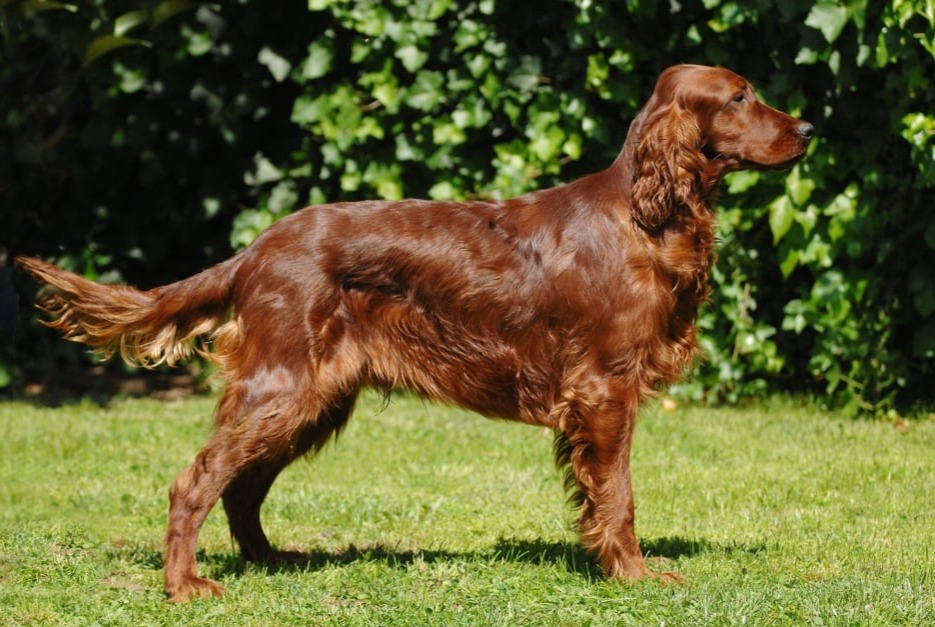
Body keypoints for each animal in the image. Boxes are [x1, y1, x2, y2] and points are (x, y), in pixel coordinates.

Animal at [18, 65, 816, 604]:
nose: (808, 129)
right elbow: (617, 494)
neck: (643, 215)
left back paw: (273, 562)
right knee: (198, 479)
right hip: (284, 387)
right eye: (738, 96)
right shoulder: (604, 388)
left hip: (313, 398)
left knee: (242, 487)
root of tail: (256, 249)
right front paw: (634, 573)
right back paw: (185, 586)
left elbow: (598, 497)